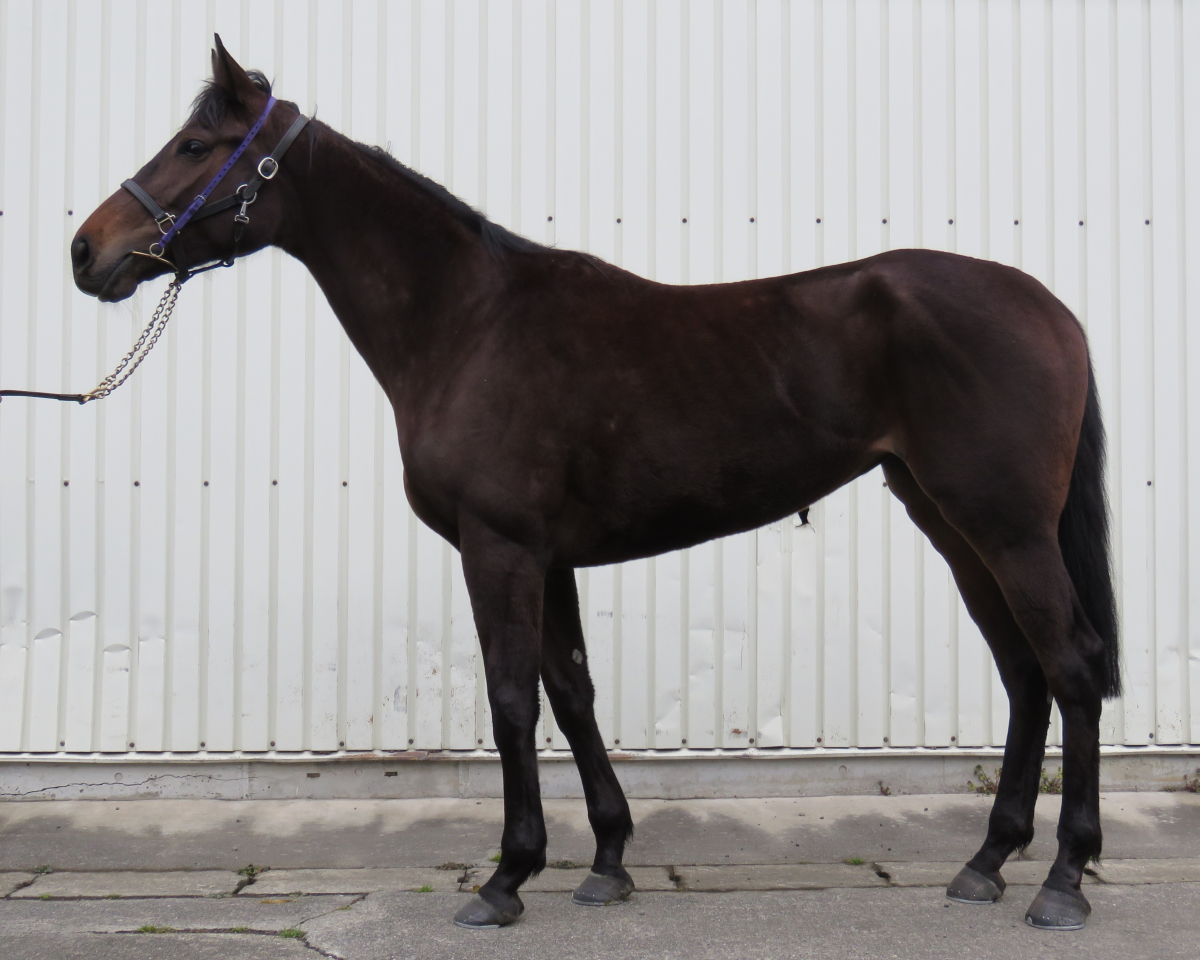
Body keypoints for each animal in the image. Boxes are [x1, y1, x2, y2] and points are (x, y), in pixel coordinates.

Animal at [72, 37, 1119, 932]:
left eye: (195, 145)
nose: (87, 251)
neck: (468, 323)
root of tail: (1051, 307)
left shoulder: (499, 550)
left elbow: (511, 701)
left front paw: (505, 879)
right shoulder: (551, 558)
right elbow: (572, 692)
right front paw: (607, 862)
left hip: (1006, 527)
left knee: (1069, 667)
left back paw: (1063, 880)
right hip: (952, 523)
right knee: (1024, 672)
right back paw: (986, 863)